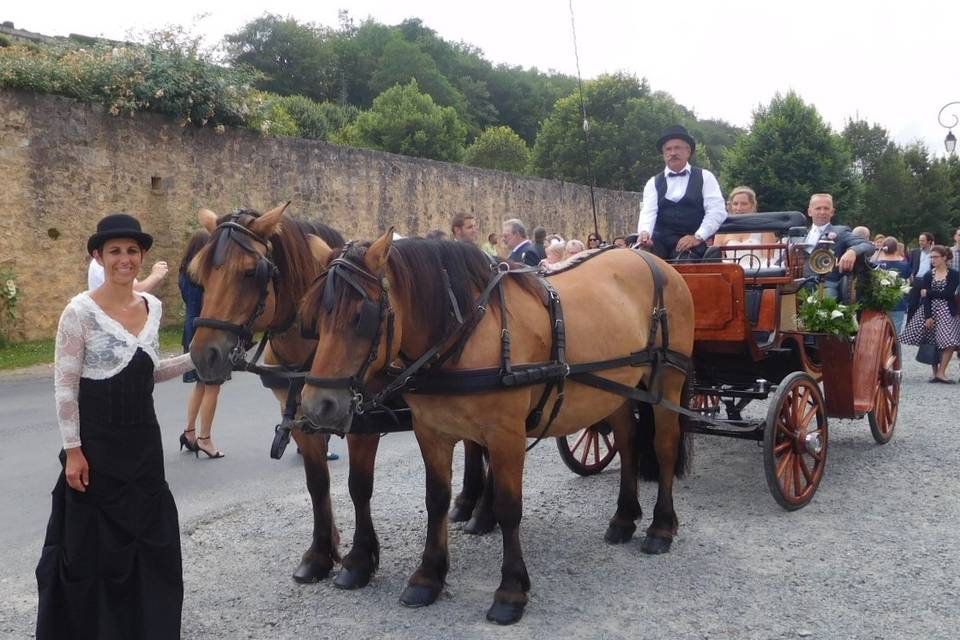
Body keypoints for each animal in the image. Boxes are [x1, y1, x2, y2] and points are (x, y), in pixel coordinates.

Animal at [187, 205, 492, 592]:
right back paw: (468, 503)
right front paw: (319, 554)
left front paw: (359, 560)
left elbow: (358, 486)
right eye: (200, 273)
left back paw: (483, 512)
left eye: (250, 272)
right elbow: (317, 484)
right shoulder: (302, 421)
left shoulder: (363, 422)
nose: (203, 356)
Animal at [298, 232, 688, 624]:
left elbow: (508, 507)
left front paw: (511, 591)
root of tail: (652, 261)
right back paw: (623, 518)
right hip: (617, 390)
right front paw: (428, 576)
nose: (317, 405)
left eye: (361, 316)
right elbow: (436, 499)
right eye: (313, 317)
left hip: (667, 385)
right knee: (627, 441)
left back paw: (661, 527)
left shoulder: (506, 437)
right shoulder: (431, 432)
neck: (468, 333)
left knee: (665, 447)